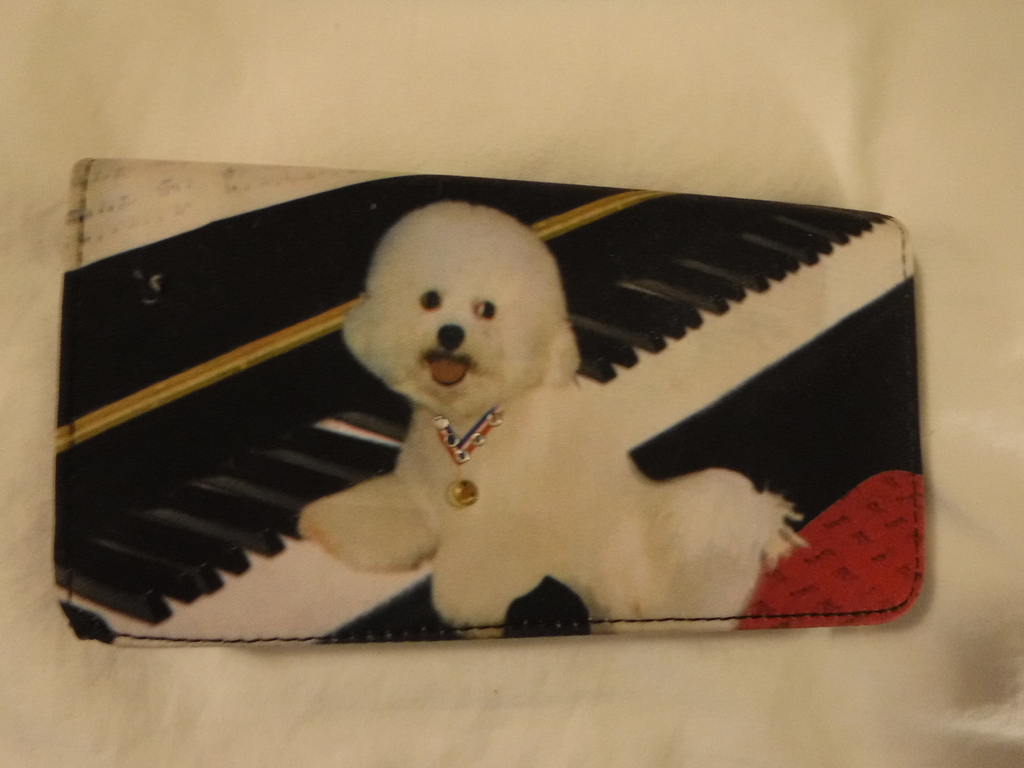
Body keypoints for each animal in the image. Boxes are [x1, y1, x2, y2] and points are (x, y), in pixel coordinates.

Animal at [300, 201, 803, 633]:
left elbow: (481, 575)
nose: (450, 333)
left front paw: (464, 610)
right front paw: (322, 525)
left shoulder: (501, 533)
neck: (473, 426)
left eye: (486, 310)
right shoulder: (418, 491)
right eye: (429, 300)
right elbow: (383, 514)